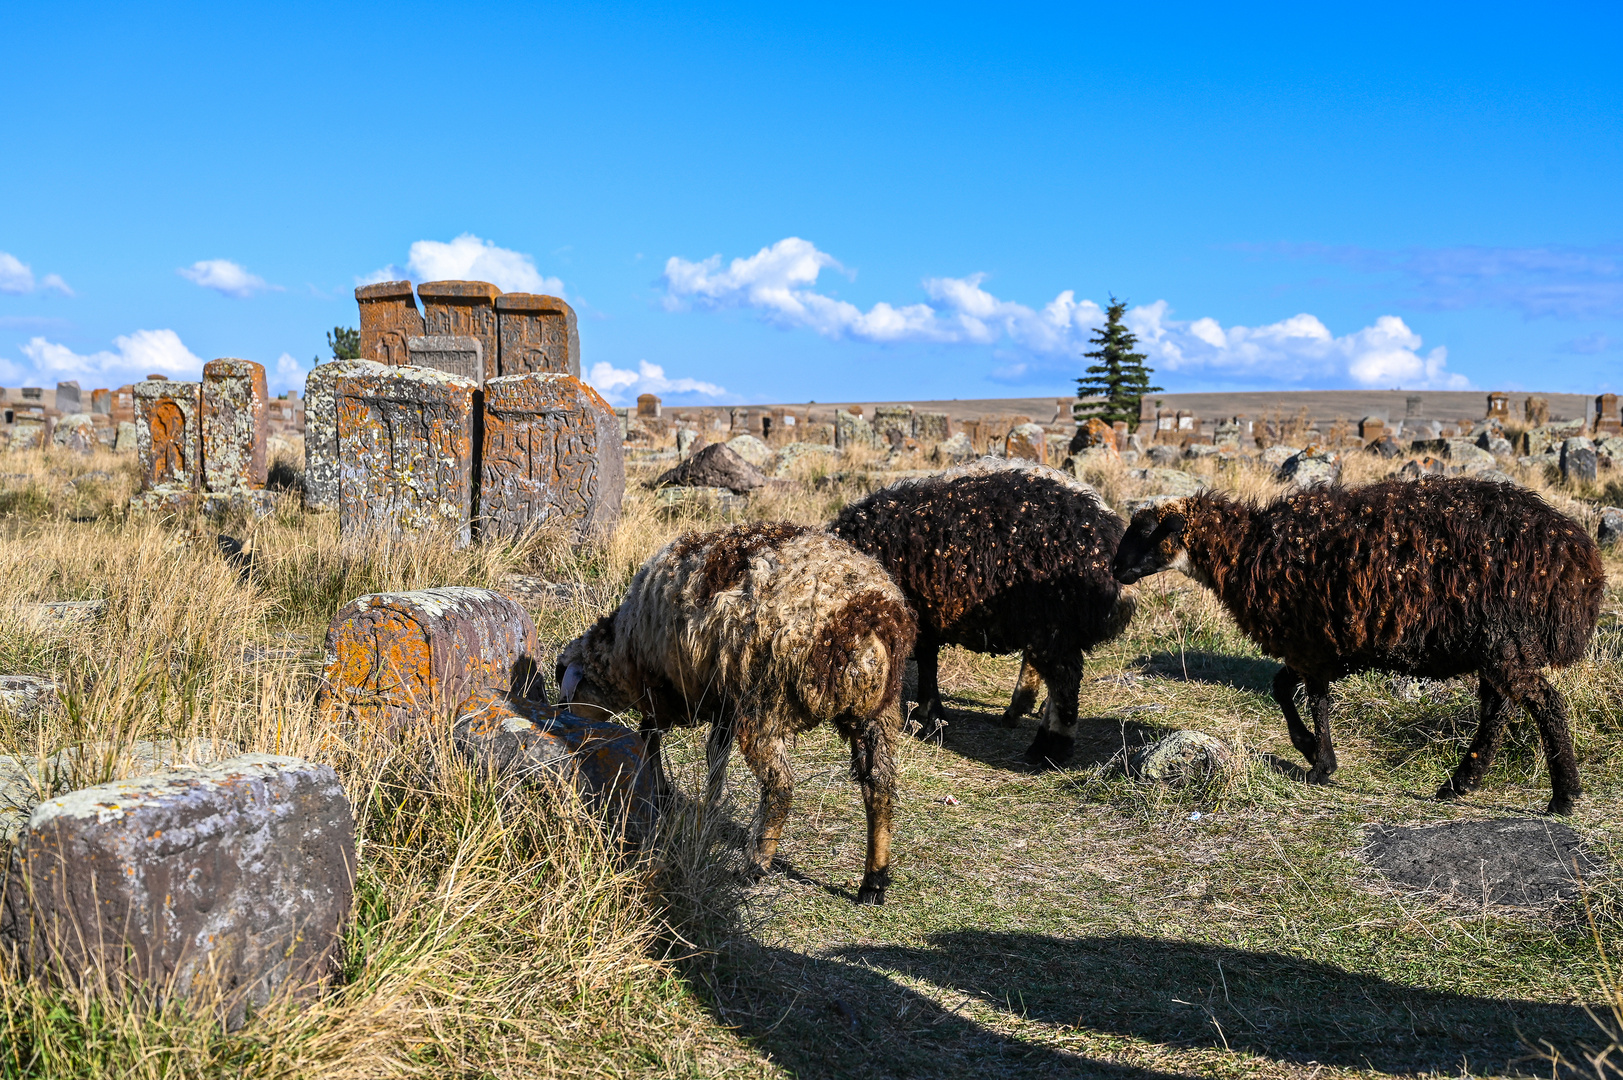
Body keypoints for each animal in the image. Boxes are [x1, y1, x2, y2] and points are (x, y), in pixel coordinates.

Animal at [555, 519, 915, 902]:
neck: (621, 654)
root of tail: (866, 620)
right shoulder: (723, 701)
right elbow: (715, 755)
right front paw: (708, 804)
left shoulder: (665, 687)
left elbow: (649, 735)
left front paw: (663, 793)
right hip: (878, 712)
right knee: (879, 785)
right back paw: (874, 879)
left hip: (766, 701)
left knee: (780, 786)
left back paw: (756, 865)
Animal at [830, 454, 1136, 766]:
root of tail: (1108, 534)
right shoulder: (926, 616)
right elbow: (928, 661)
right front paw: (928, 715)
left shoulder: (917, 612)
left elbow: (926, 662)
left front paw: (929, 717)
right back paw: (1021, 717)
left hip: (1054, 623)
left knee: (1064, 683)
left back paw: (1047, 750)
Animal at [1110, 477, 1603, 812]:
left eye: (1148, 531)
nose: (1114, 570)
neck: (1245, 549)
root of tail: (1579, 560)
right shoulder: (1313, 646)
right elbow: (1284, 689)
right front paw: (1312, 751)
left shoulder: (1308, 644)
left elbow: (1311, 700)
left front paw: (1320, 763)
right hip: (1499, 646)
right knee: (1500, 710)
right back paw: (1461, 783)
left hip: (1505, 639)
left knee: (1544, 703)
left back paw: (1563, 796)